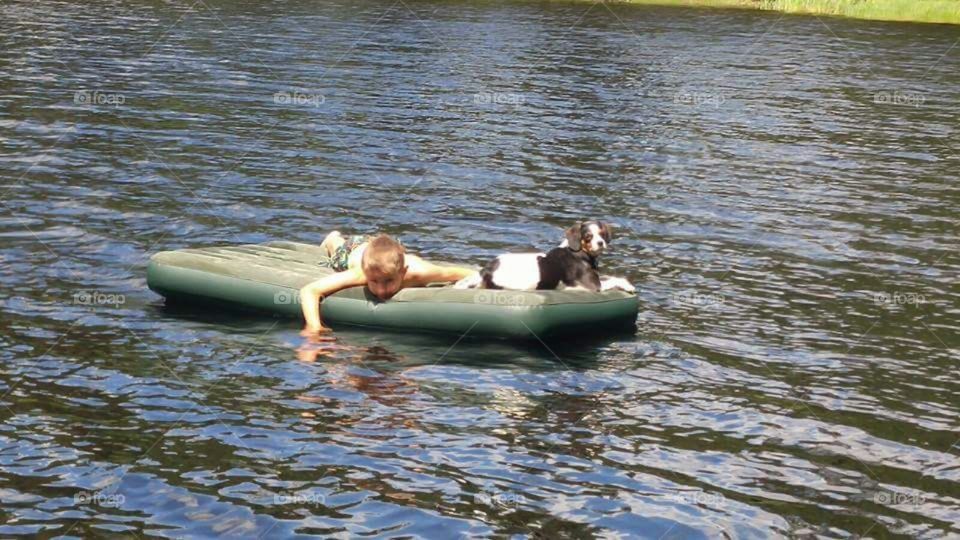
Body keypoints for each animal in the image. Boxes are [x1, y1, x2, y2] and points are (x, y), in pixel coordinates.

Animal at [452, 219, 632, 294]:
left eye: (602, 233)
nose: (601, 243)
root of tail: (487, 270)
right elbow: (615, 279)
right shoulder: (594, 286)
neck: (578, 253)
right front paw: (629, 286)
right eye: (588, 236)